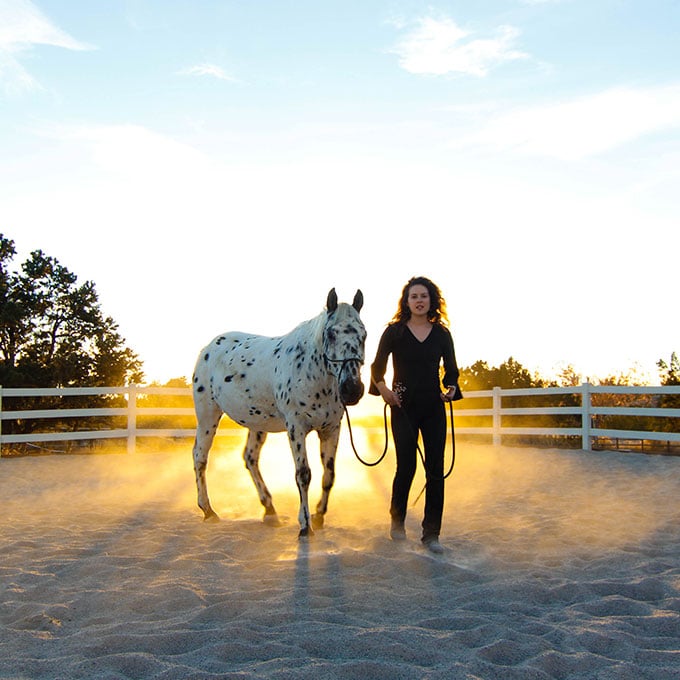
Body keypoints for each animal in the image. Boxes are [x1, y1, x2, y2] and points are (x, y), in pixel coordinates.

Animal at [189, 286, 370, 536]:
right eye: (331, 334)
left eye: (364, 335)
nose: (352, 389)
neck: (313, 373)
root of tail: (209, 347)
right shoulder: (296, 427)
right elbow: (303, 474)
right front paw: (305, 525)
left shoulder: (331, 428)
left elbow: (329, 474)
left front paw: (319, 516)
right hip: (208, 415)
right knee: (200, 456)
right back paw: (208, 510)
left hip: (257, 423)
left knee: (250, 458)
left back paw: (270, 509)